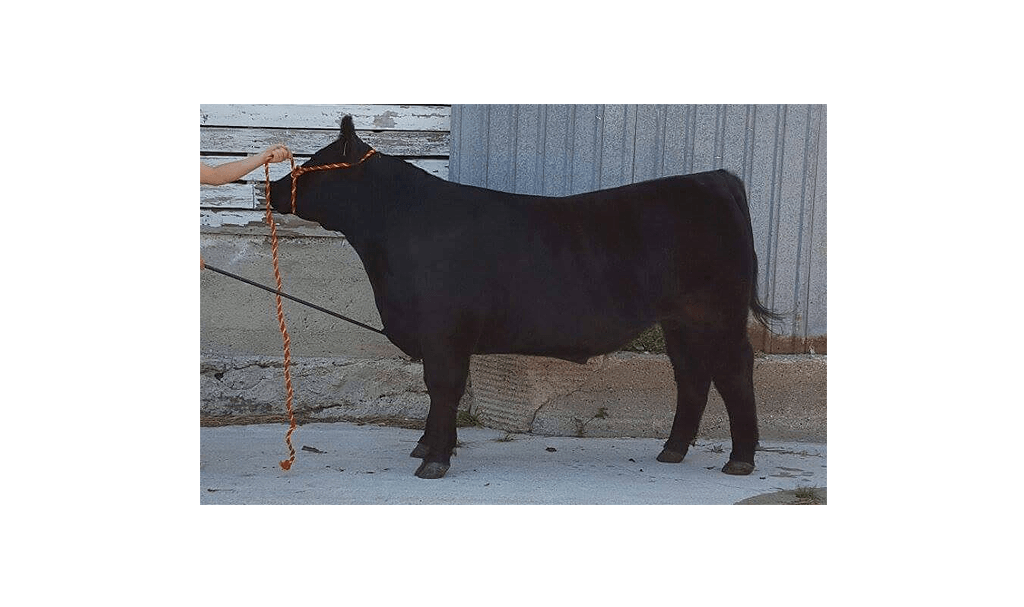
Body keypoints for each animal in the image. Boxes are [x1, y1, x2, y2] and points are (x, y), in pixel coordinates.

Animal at [267, 116, 779, 479]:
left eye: (311, 163)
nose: (269, 187)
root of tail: (715, 178)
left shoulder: (442, 330)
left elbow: (443, 388)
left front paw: (433, 460)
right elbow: (440, 393)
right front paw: (431, 445)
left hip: (717, 314)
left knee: (734, 372)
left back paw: (740, 460)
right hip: (680, 321)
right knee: (692, 375)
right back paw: (672, 450)